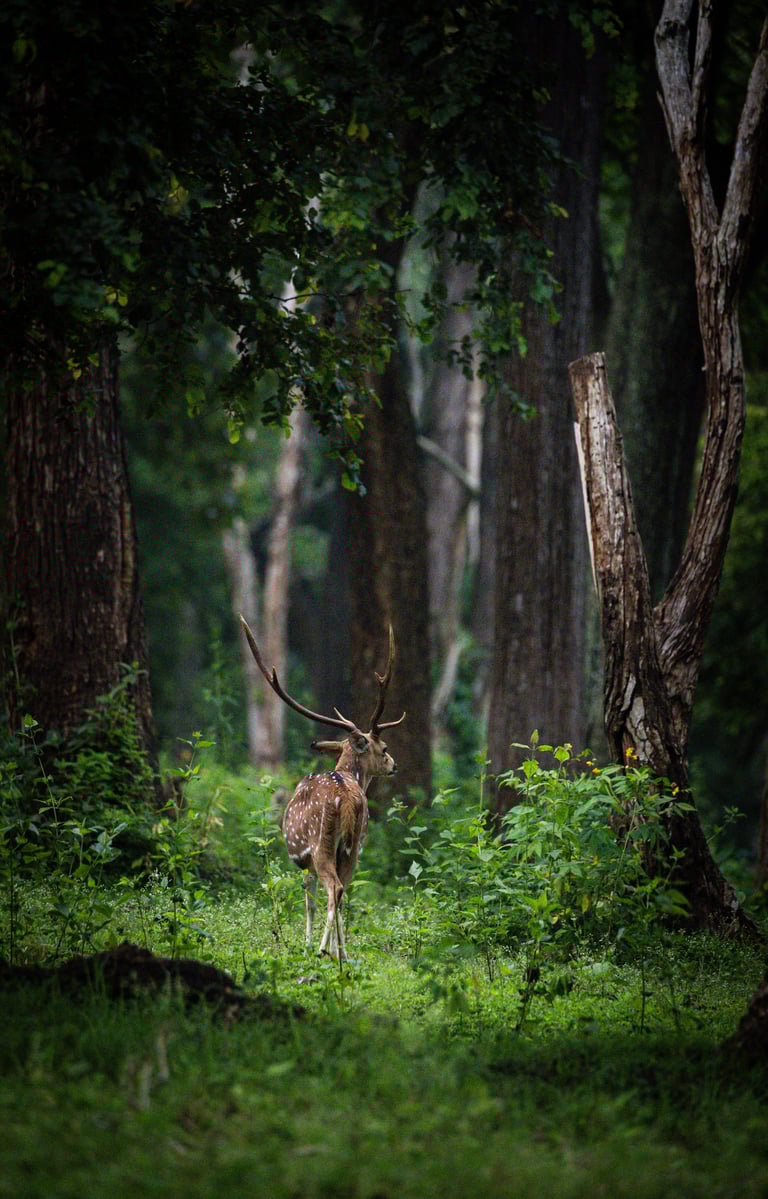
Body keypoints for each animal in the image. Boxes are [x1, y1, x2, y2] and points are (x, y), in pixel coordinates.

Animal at [240, 616, 405, 961]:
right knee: (343, 891)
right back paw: (341, 953)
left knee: (334, 890)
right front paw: (341, 951)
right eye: (384, 748)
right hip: (354, 847)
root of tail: (346, 797)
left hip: (321, 844)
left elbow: (309, 902)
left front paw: (306, 943)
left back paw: (321, 949)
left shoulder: (304, 860)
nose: (394, 764)